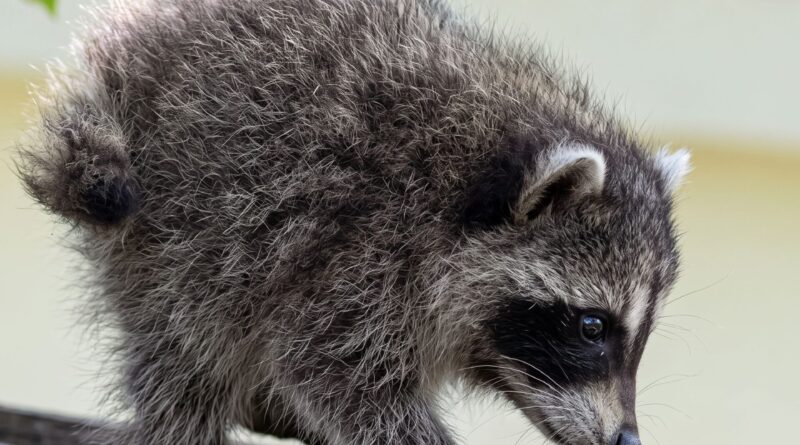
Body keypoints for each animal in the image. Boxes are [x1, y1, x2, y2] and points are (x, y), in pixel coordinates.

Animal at [16, 0, 690, 444]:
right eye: (591, 327)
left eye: (639, 334)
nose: (626, 439)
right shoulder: (361, 247)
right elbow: (336, 375)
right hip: (172, 222)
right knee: (185, 354)